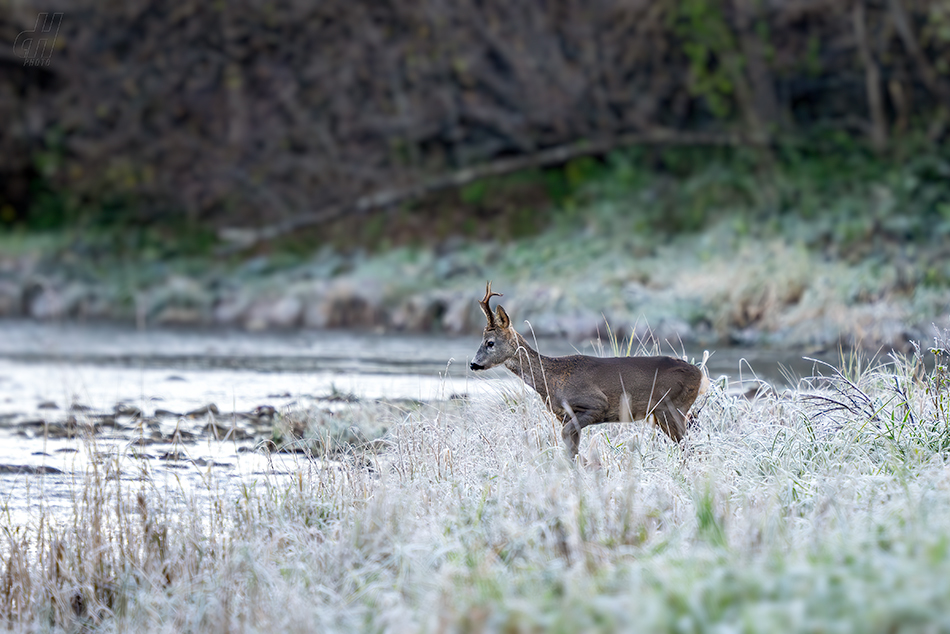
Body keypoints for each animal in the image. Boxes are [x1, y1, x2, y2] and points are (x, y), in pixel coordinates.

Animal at [472, 280, 712, 454]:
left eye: (490, 343)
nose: (473, 364)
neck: (550, 379)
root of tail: (701, 375)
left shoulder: (596, 404)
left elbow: (568, 440)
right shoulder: (565, 416)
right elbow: (571, 448)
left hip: (671, 407)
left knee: (689, 447)